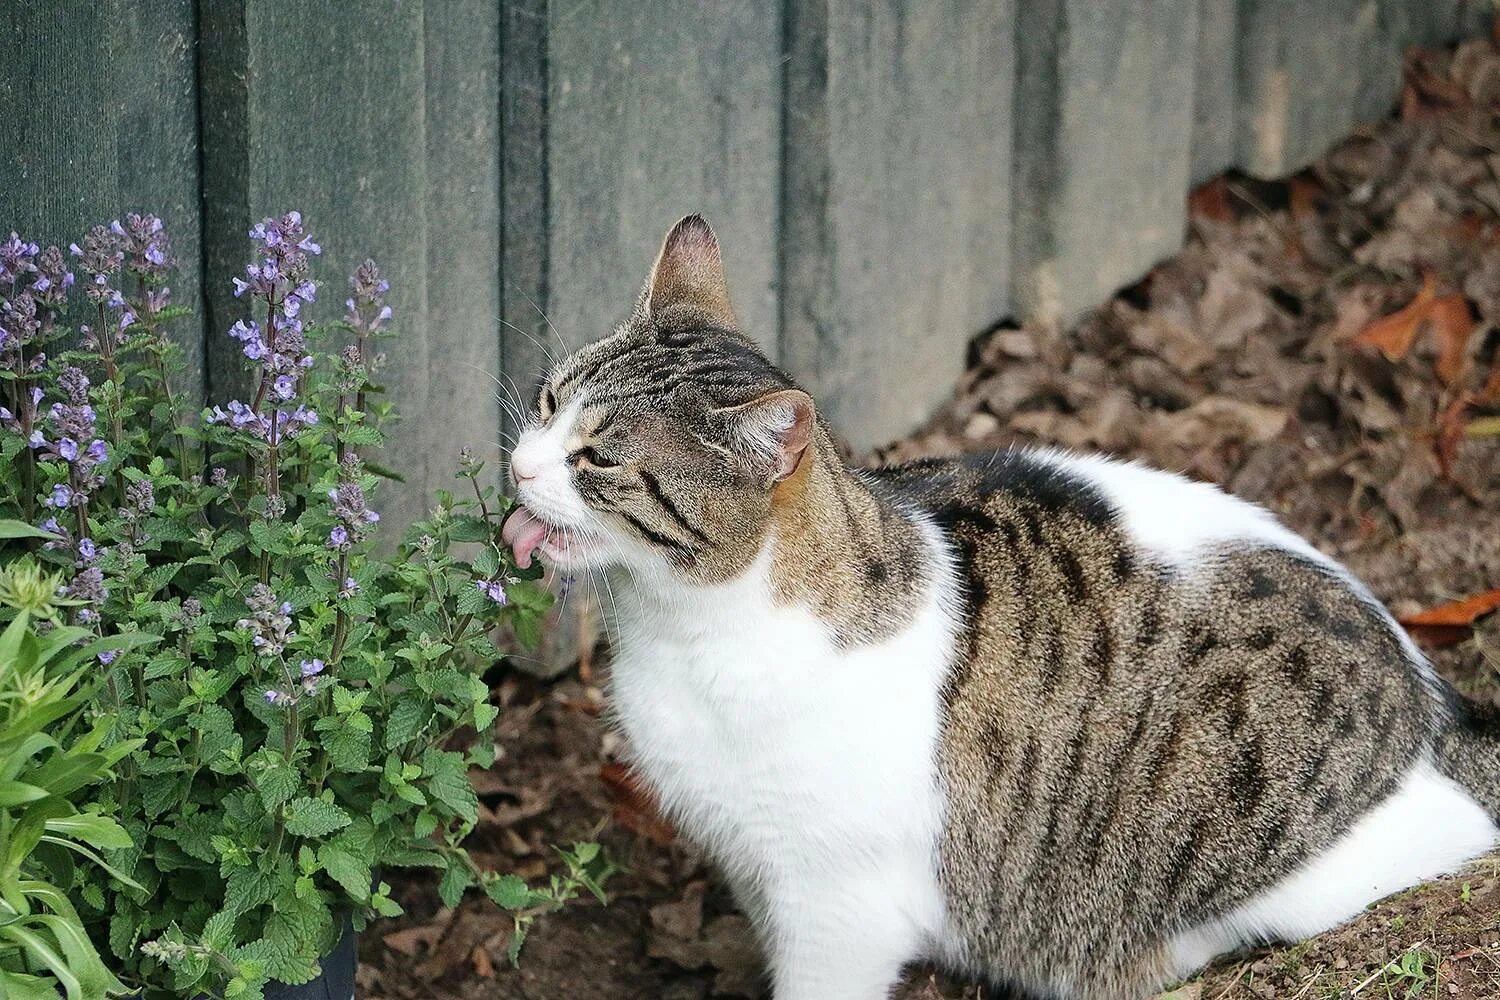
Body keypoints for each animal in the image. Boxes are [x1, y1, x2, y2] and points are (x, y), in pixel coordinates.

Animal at [504, 215, 1500, 995]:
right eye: (548, 401)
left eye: (597, 459)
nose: (517, 467)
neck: (680, 626)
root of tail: (1432, 698)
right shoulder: (755, 861)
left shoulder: (838, 902)